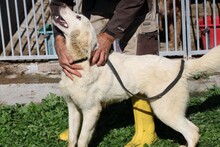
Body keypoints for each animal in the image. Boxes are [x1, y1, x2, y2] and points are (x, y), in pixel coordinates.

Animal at [52, 4, 220, 147]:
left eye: (78, 17)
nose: (61, 4)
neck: (81, 61)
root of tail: (179, 64)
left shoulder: (91, 111)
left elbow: (81, 140)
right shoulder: (73, 108)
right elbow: (73, 138)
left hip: (165, 111)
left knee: (193, 131)